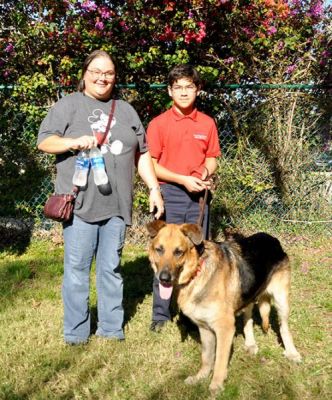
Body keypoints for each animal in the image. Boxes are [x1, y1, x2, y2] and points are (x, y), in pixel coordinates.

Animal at [147, 220, 302, 396]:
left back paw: (292, 353)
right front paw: (200, 377)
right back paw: (251, 344)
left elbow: (220, 361)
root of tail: (272, 239)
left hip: (281, 300)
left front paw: (216, 386)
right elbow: (207, 358)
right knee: (248, 320)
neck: (197, 272)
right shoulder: (205, 328)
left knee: (284, 327)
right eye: (159, 249)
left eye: (178, 252)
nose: (164, 278)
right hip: (247, 296)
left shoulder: (225, 329)